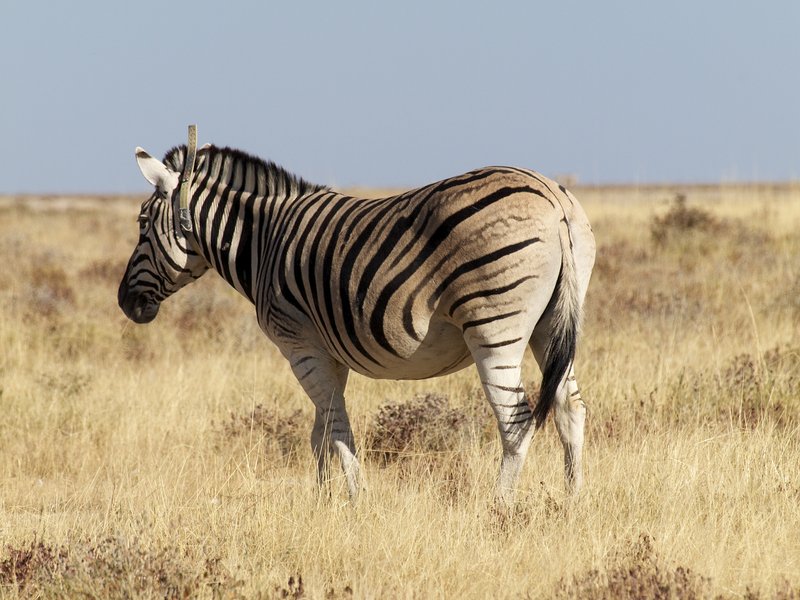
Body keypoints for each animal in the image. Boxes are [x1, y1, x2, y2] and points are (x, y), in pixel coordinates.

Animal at [118, 131, 595, 505]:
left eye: (142, 223)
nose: (125, 303)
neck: (264, 240)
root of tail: (554, 200)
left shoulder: (300, 345)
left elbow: (335, 423)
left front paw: (354, 496)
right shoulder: (329, 351)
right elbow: (320, 430)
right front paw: (322, 499)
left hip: (494, 325)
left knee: (515, 420)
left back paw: (499, 508)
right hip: (551, 325)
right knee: (570, 408)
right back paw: (572, 503)